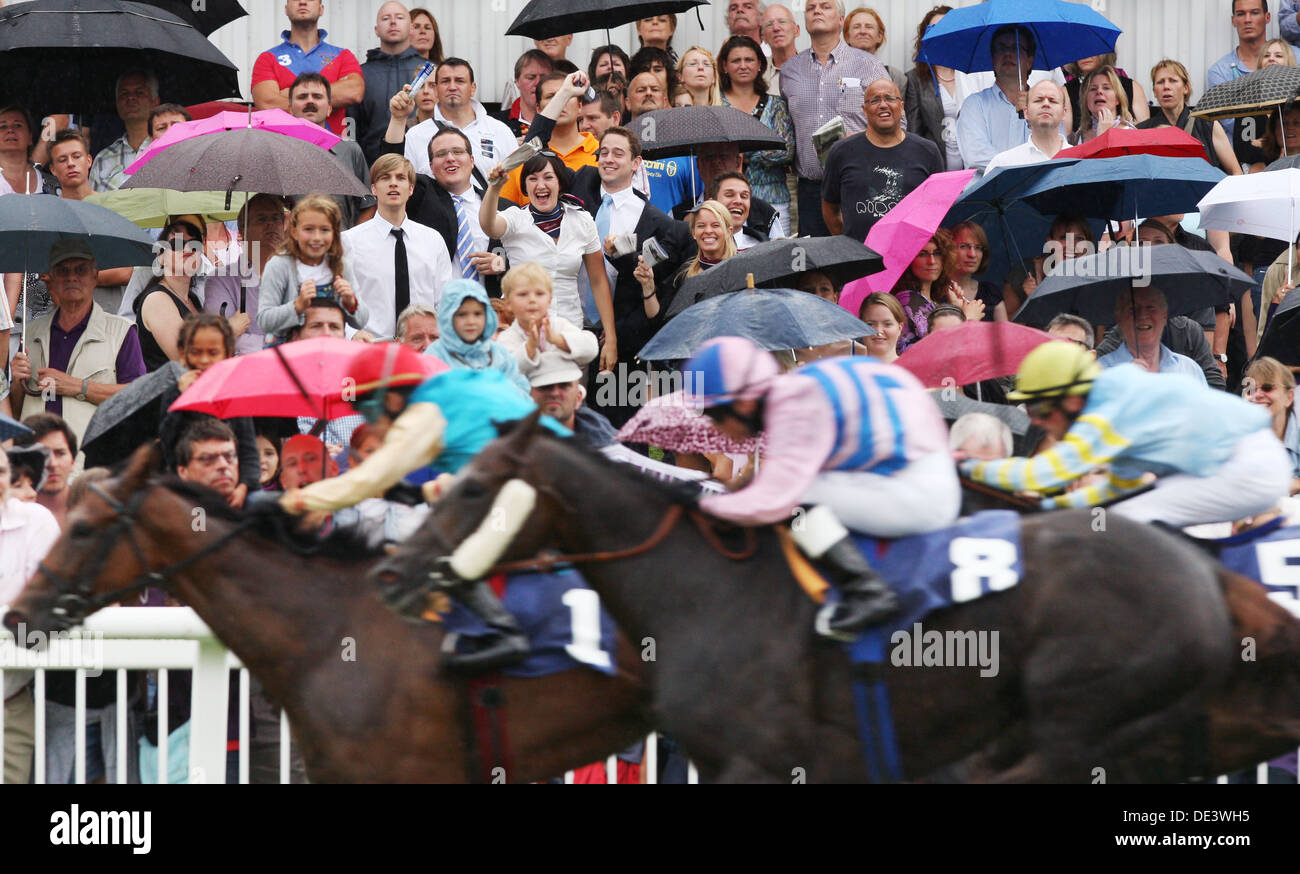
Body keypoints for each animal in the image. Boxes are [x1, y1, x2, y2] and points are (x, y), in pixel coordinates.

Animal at [377, 416, 1300, 785]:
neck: (701, 591)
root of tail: (1205, 578)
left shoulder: (760, 762)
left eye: (474, 488)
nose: (394, 572)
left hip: (1088, 725)